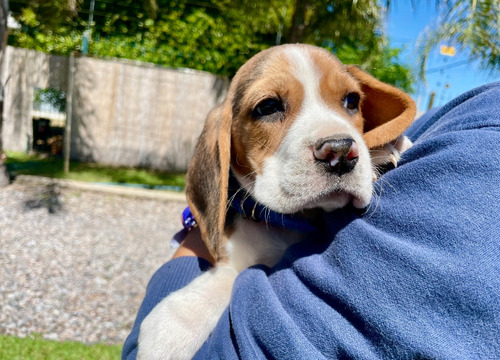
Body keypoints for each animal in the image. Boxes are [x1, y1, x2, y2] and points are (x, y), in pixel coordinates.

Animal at [137, 43, 414, 358]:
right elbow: (227, 277)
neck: (296, 222)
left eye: (352, 101)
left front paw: (384, 151)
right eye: (268, 107)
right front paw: (175, 324)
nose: (341, 151)